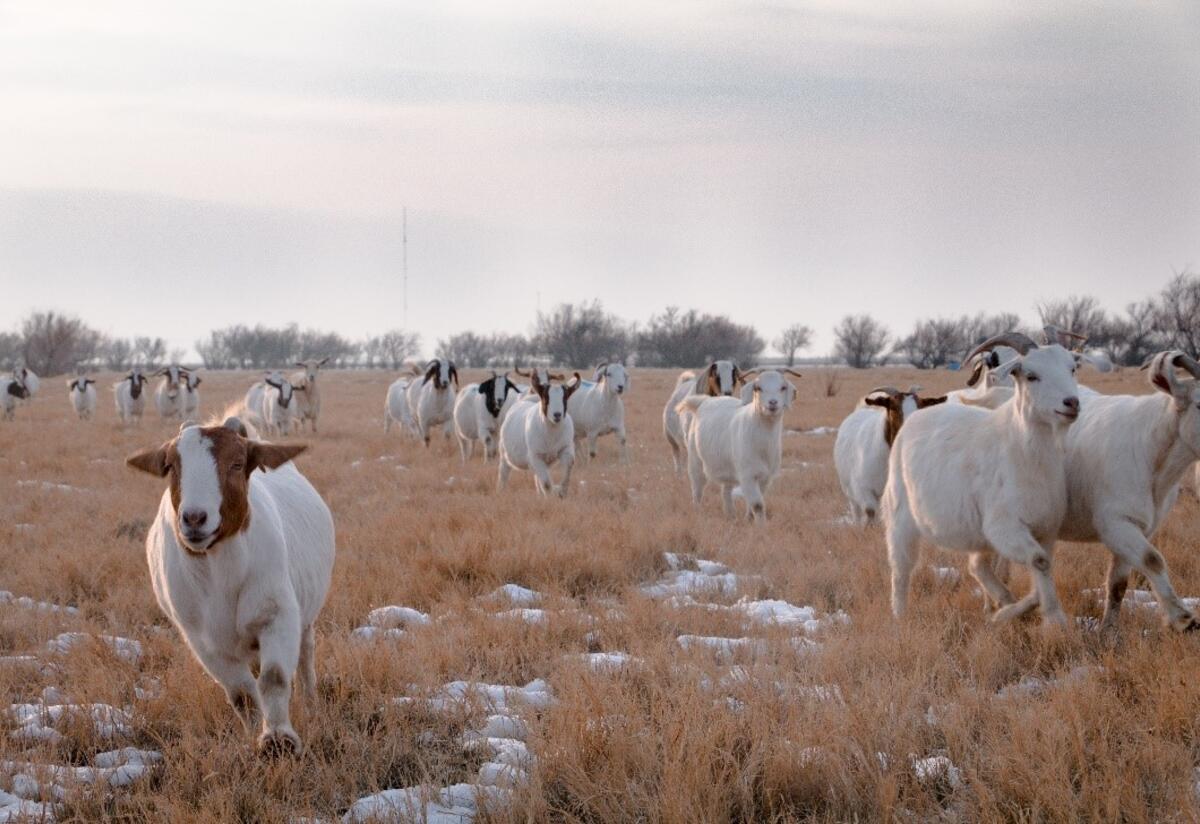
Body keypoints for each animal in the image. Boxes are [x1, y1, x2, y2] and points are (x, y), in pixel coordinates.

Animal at [125, 418, 334, 755]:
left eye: (237, 463)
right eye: (171, 466)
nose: (195, 518)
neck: (220, 576)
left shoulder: (277, 616)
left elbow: (274, 678)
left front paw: (279, 738)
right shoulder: (203, 642)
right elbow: (243, 694)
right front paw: (254, 737)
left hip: (304, 620)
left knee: (305, 658)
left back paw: (312, 705)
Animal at [678, 368, 800, 522]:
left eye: (783, 387)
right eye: (758, 388)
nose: (772, 403)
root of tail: (703, 401)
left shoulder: (766, 477)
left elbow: (755, 503)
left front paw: (748, 520)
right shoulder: (747, 474)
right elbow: (758, 505)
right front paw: (761, 526)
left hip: (726, 467)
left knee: (726, 491)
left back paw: (731, 515)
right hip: (695, 460)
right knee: (697, 490)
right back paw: (698, 513)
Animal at [834, 386, 946, 526]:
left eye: (920, 407)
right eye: (894, 407)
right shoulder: (862, 488)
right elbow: (870, 511)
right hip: (848, 490)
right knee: (856, 510)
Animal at [884, 332, 1081, 627]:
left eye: (1072, 369)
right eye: (1031, 375)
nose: (1072, 403)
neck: (1024, 451)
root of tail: (915, 417)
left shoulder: (1045, 529)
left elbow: (1042, 566)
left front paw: (1009, 611)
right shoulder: (1004, 528)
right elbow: (1040, 562)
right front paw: (1054, 618)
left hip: (978, 534)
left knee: (977, 565)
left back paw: (999, 604)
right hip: (901, 519)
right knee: (901, 570)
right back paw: (900, 617)